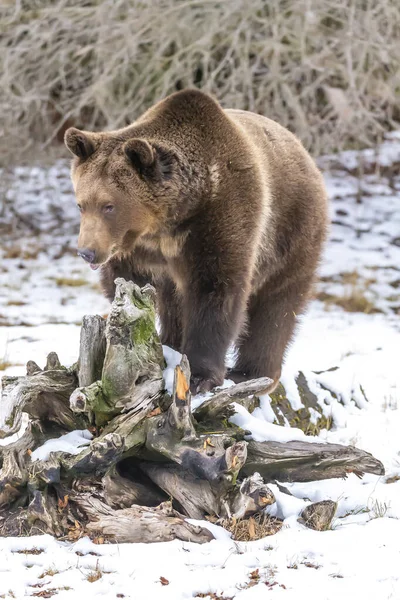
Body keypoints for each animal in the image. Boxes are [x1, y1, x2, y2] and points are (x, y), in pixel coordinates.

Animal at [65, 88, 328, 394]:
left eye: (109, 206)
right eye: (82, 204)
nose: (87, 252)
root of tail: (303, 151)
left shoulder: (221, 216)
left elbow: (215, 290)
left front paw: (201, 375)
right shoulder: (138, 250)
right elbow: (128, 285)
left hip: (291, 229)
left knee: (278, 303)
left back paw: (253, 374)